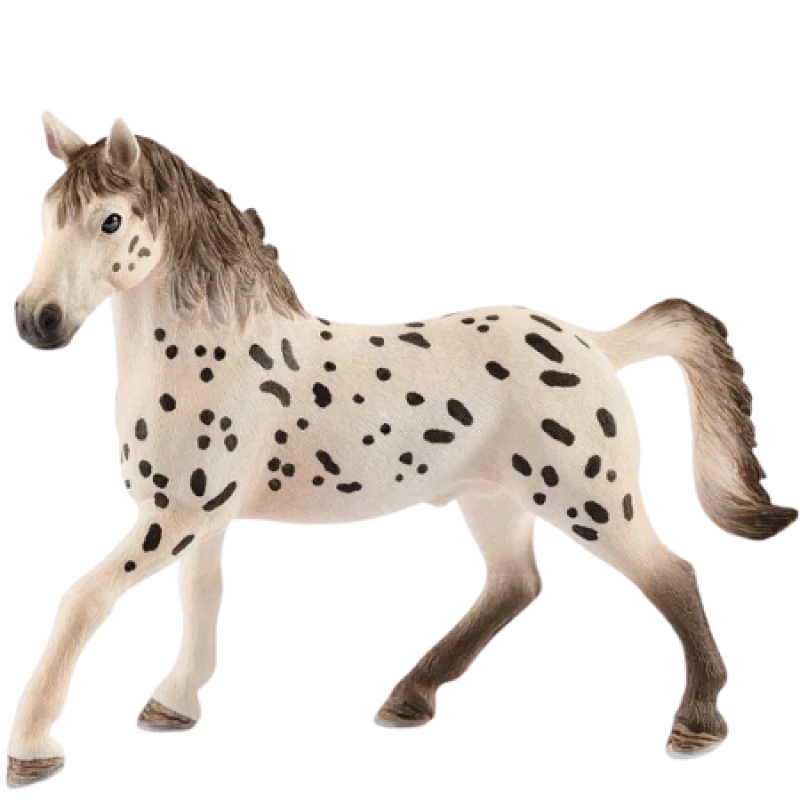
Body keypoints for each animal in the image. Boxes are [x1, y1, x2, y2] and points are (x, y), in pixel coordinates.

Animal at [9, 109, 797, 786]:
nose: (37, 322)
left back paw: (696, 725)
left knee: (672, 575)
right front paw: (172, 708)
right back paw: (406, 700)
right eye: (45, 219)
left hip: (592, 498)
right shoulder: (194, 515)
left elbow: (82, 599)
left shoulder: (174, 516)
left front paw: (31, 749)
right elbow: (199, 604)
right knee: (515, 583)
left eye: (111, 220)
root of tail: (596, 344)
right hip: (493, 499)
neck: (215, 351)